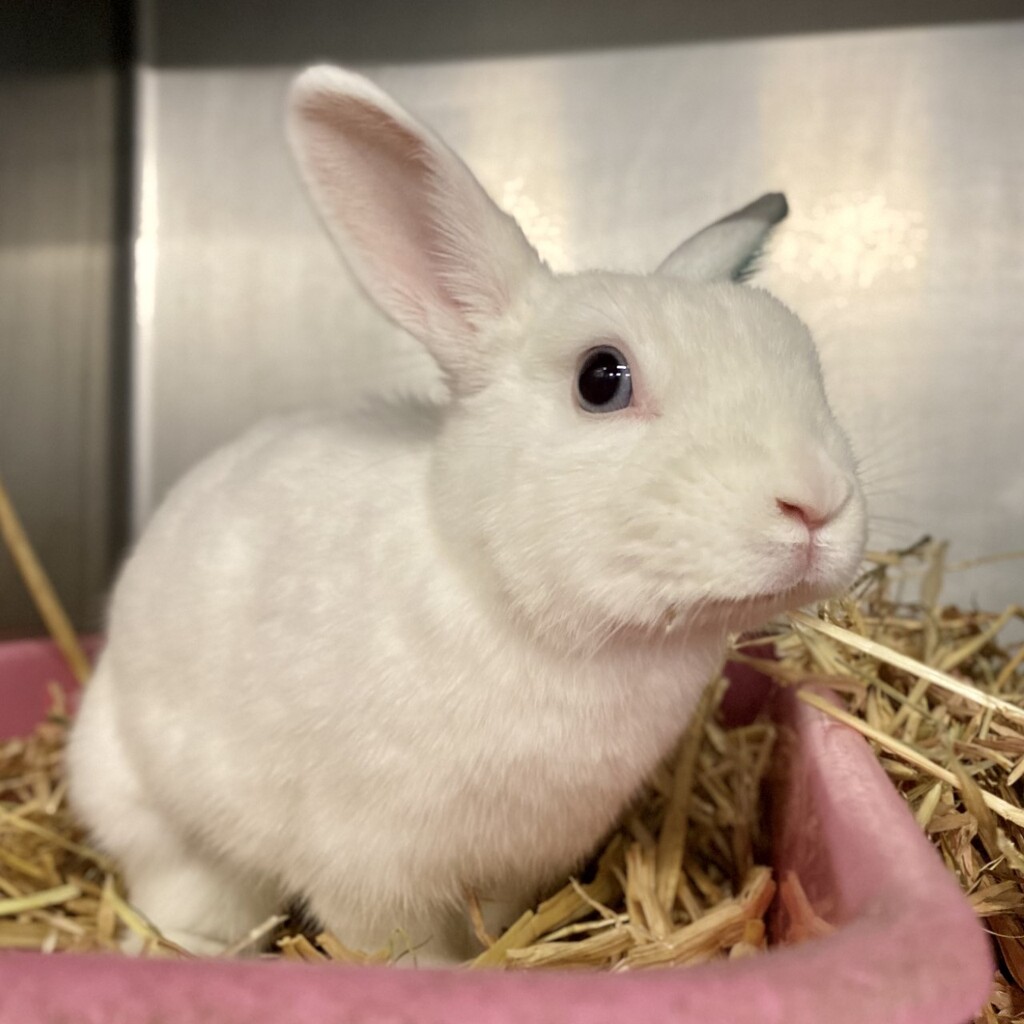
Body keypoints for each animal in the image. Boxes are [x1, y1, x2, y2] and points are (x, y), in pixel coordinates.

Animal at [67, 65, 867, 963]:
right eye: (601, 378)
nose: (817, 501)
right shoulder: (370, 864)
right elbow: (399, 945)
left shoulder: (520, 862)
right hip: (165, 826)